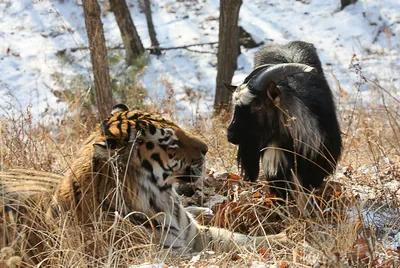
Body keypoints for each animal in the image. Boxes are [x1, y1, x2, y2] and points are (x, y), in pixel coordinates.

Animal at [0, 104, 288, 262]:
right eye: (170, 141)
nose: (206, 148)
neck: (164, 199)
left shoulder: (196, 235)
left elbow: (242, 239)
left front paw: (286, 237)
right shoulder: (167, 255)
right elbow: (221, 255)